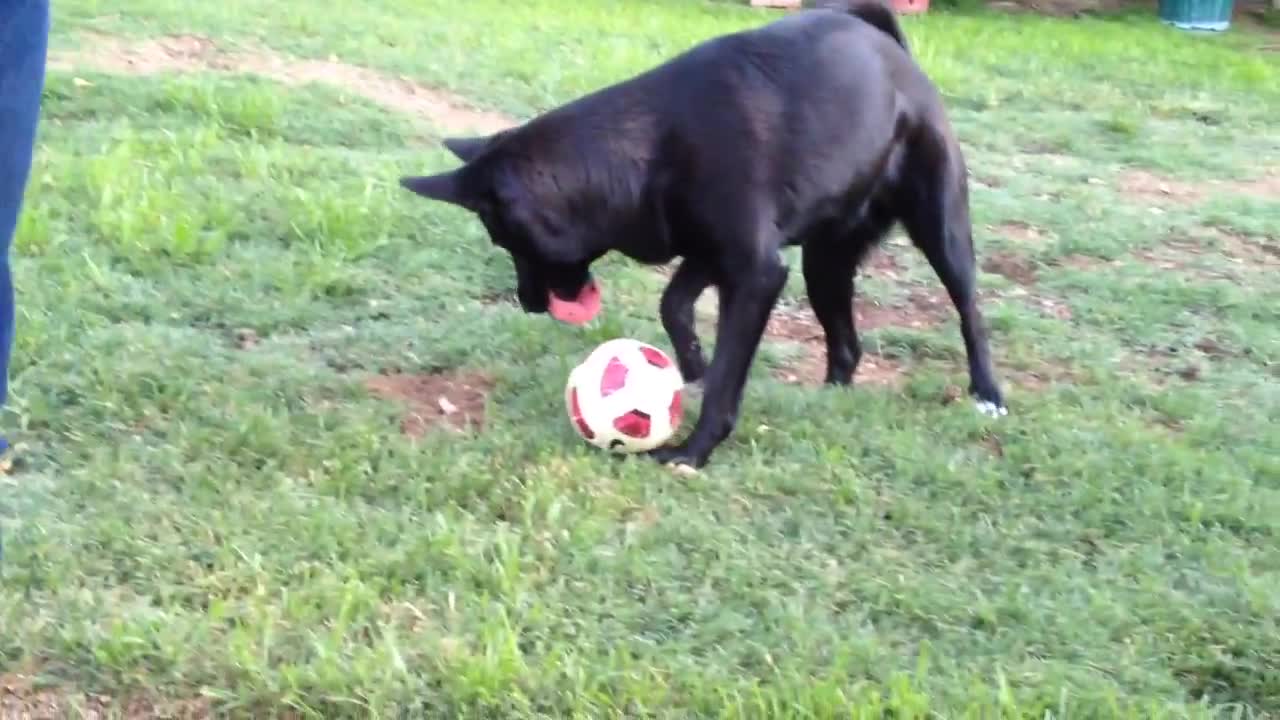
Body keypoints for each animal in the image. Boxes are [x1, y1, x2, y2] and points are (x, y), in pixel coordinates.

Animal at [404, 0, 1003, 468]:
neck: (644, 149)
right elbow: (673, 305)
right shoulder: (706, 253)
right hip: (824, 263)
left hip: (940, 229)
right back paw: (829, 400)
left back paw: (988, 393)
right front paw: (691, 367)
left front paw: (694, 449)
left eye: (506, 241)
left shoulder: (756, 272)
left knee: (969, 311)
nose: (528, 303)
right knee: (847, 345)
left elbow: (724, 375)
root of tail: (889, 46)